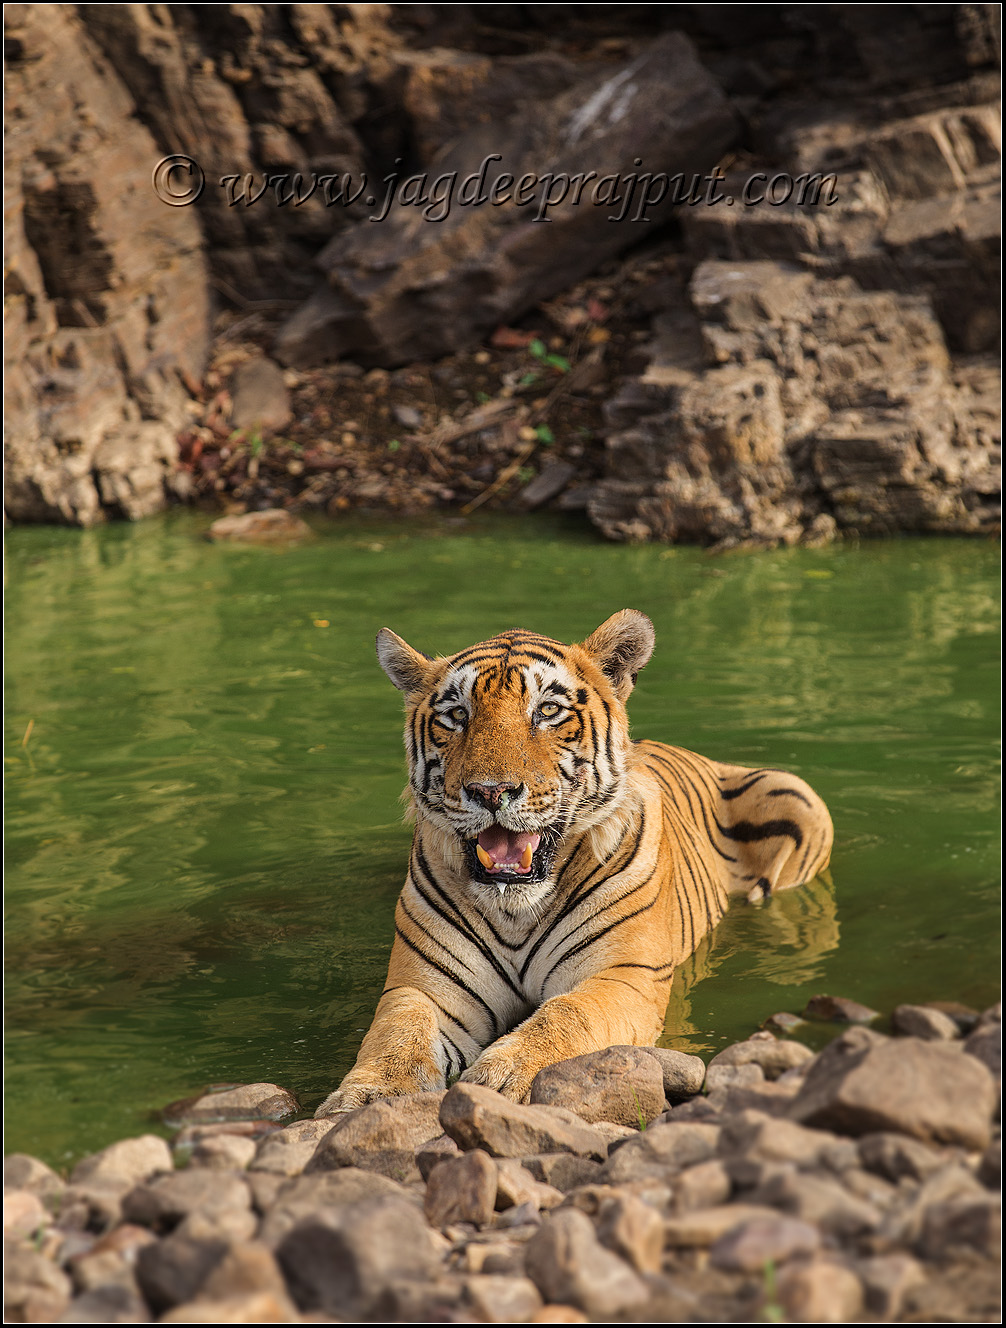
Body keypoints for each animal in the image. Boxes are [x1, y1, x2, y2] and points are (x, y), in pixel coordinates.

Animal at [316, 610, 833, 1115]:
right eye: (458, 715)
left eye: (547, 710)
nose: (490, 792)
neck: (515, 910)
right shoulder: (421, 988)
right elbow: (396, 1035)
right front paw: (369, 1095)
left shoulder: (623, 976)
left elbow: (566, 1016)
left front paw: (502, 1077)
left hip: (793, 792)